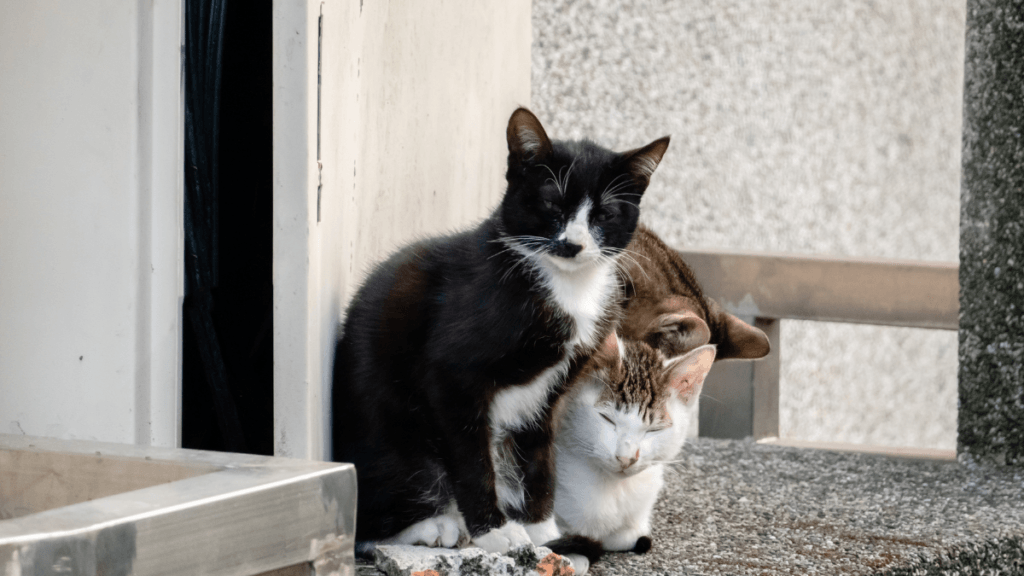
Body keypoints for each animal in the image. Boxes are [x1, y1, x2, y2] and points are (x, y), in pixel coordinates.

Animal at [329, 107, 671, 557]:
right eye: (551, 202)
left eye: (604, 214)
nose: (573, 244)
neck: (566, 287)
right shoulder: (452, 376)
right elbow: (473, 459)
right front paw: (495, 531)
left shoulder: (551, 392)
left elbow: (538, 456)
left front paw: (543, 531)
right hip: (396, 439)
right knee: (370, 515)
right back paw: (435, 525)